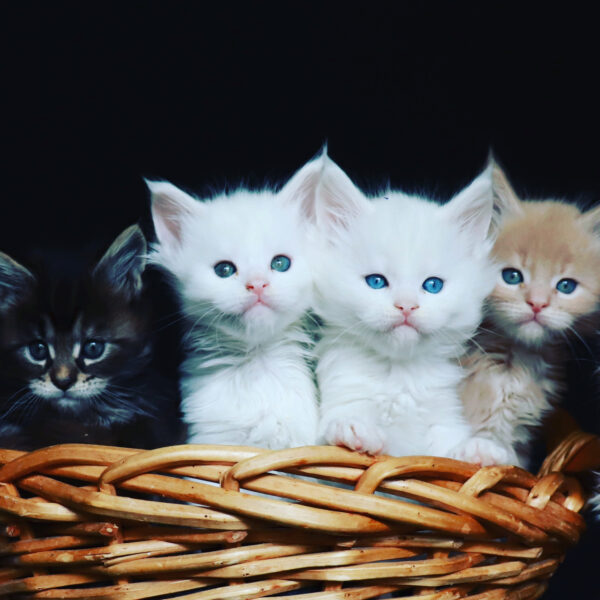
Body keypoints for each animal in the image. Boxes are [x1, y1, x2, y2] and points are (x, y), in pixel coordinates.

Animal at [314, 154, 506, 460]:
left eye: (433, 285)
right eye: (376, 281)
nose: (406, 306)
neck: (399, 377)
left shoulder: (442, 420)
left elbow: (446, 454)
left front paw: (477, 448)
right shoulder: (341, 396)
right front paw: (350, 429)